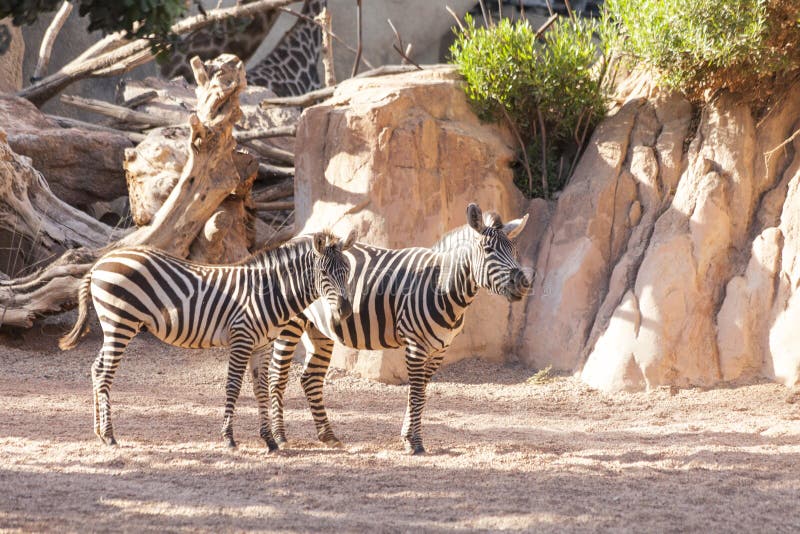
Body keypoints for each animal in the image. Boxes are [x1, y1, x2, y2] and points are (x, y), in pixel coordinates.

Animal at [58, 231, 354, 452]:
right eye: (325, 274)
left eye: (348, 270)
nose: (346, 310)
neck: (269, 292)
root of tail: (101, 262)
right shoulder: (241, 337)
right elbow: (233, 386)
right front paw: (229, 438)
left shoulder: (261, 344)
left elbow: (259, 388)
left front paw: (269, 440)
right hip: (121, 323)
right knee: (105, 373)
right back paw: (109, 435)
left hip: (113, 326)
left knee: (96, 369)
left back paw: (99, 432)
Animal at [252, 203, 532, 454]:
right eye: (488, 249)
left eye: (514, 249)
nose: (523, 282)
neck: (441, 286)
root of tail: (295, 238)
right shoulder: (416, 345)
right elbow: (416, 393)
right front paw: (415, 444)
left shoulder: (439, 348)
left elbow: (421, 393)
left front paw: (407, 437)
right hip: (290, 324)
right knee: (278, 376)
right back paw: (281, 437)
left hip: (320, 330)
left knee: (310, 377)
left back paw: (328, 436)